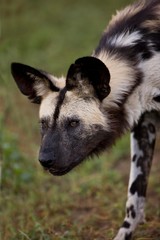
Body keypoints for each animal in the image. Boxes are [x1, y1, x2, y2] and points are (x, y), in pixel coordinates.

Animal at [11, 0, 160, 239]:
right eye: (43, 124)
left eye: (73, 123)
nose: (45, 160)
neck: (140, 64)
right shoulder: (144, 123)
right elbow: (135, 197)